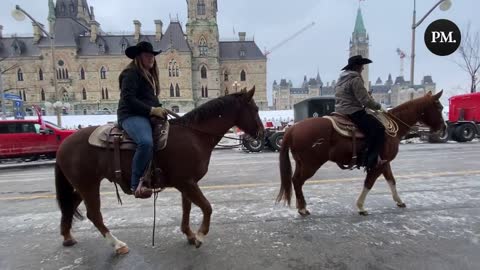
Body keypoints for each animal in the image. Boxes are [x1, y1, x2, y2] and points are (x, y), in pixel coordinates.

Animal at [56, 87, 266, 254]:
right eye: (255, 109)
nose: (262, 134)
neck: (194, 135)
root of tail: (64, 144)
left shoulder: (187, 184)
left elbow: (187, 208)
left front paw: (190, 235)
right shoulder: (187, 182)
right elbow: (207, 207)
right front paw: (200, 235)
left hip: (83, 186)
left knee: (70, 204)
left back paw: (67, 237)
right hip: (88, 185)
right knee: (94, 214)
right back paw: (117, 245)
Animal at [278, 92, 446, 216]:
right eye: (439, 107)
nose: (443, 128)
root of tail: (292, 128)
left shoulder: (384, 162)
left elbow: (391, 181)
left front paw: (399, 201)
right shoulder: (378, 164)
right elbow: (369, 183)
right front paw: (361, 207)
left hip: (301, 164)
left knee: (295, 180)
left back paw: (301, 206)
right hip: (311, 165)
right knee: (297, 181)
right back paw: (302, 208)